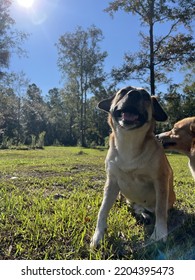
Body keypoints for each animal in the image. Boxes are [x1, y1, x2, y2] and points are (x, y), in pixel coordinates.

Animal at [90, 85, 176, 247]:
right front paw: (98, 236)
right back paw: (141, 213)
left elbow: (161, 211)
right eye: (123, 91)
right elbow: (102, 210)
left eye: (146, 95)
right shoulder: (112, 182)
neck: (129, 142)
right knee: (134, 205)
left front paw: (160, 234)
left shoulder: (161, 180)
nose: (134, 94)